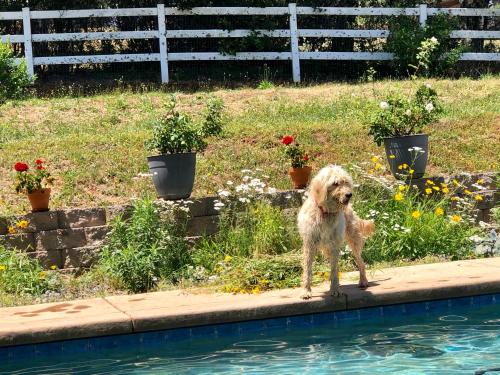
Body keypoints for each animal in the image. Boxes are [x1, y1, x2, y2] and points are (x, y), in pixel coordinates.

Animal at [296, 165, 376, 300]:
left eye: (346, 182)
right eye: (335, 183)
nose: (349, 194)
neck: (325, 212)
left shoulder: (334, 246)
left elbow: (334, 271)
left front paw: (335, 290)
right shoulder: (309, 244)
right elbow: (308, 270)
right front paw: (306, 291)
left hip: (353, 242)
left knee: (361, 263)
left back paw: (363, 281)